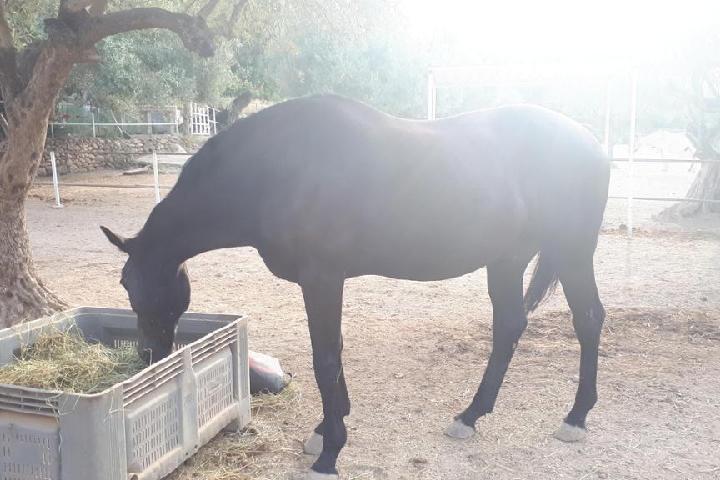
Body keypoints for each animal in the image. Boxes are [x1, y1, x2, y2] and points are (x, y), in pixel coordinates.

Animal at [102, 94, 610, 480]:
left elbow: (325, 359)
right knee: (509, 325)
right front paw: (325, 430)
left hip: (572, 251)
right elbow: (334, 354)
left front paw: (329, 454)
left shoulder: (322, 279)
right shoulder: (324, 282)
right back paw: (470, 416)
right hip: (506, 260)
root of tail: (592, 142)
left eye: (127, 281)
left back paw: (576, 417)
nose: (148, 355)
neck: (276, 168)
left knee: (587, 319)